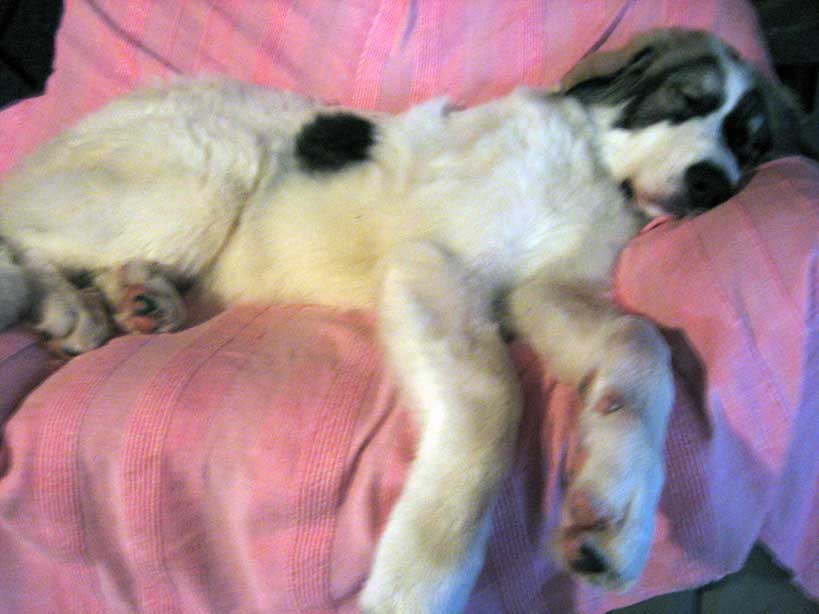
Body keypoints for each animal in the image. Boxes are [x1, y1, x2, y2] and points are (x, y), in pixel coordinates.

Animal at [0, 29, 809, 613]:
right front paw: (424, 571)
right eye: (683, 100)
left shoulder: (543, 292)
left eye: (751, 144)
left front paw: (618, 507)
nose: (714, 185)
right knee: (22, 238)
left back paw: (138, 295)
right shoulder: (430, 265)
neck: (590, 171)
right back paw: (70, 308)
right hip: (200, 179)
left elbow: (636, 341)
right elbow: (493, 400)